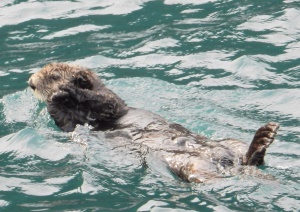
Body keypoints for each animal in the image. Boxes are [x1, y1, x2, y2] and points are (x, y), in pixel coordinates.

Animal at [28, 62, 278, 182]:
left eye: (53, 76)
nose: (30, 83)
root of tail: (231, 163)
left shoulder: (112, 103)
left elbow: (105, 102)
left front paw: (66, 91)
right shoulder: (71, 125)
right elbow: (66, 123)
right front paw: (55, 100)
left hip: (226, 145)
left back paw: (263, 139)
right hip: (195, 161)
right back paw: (261, 143)